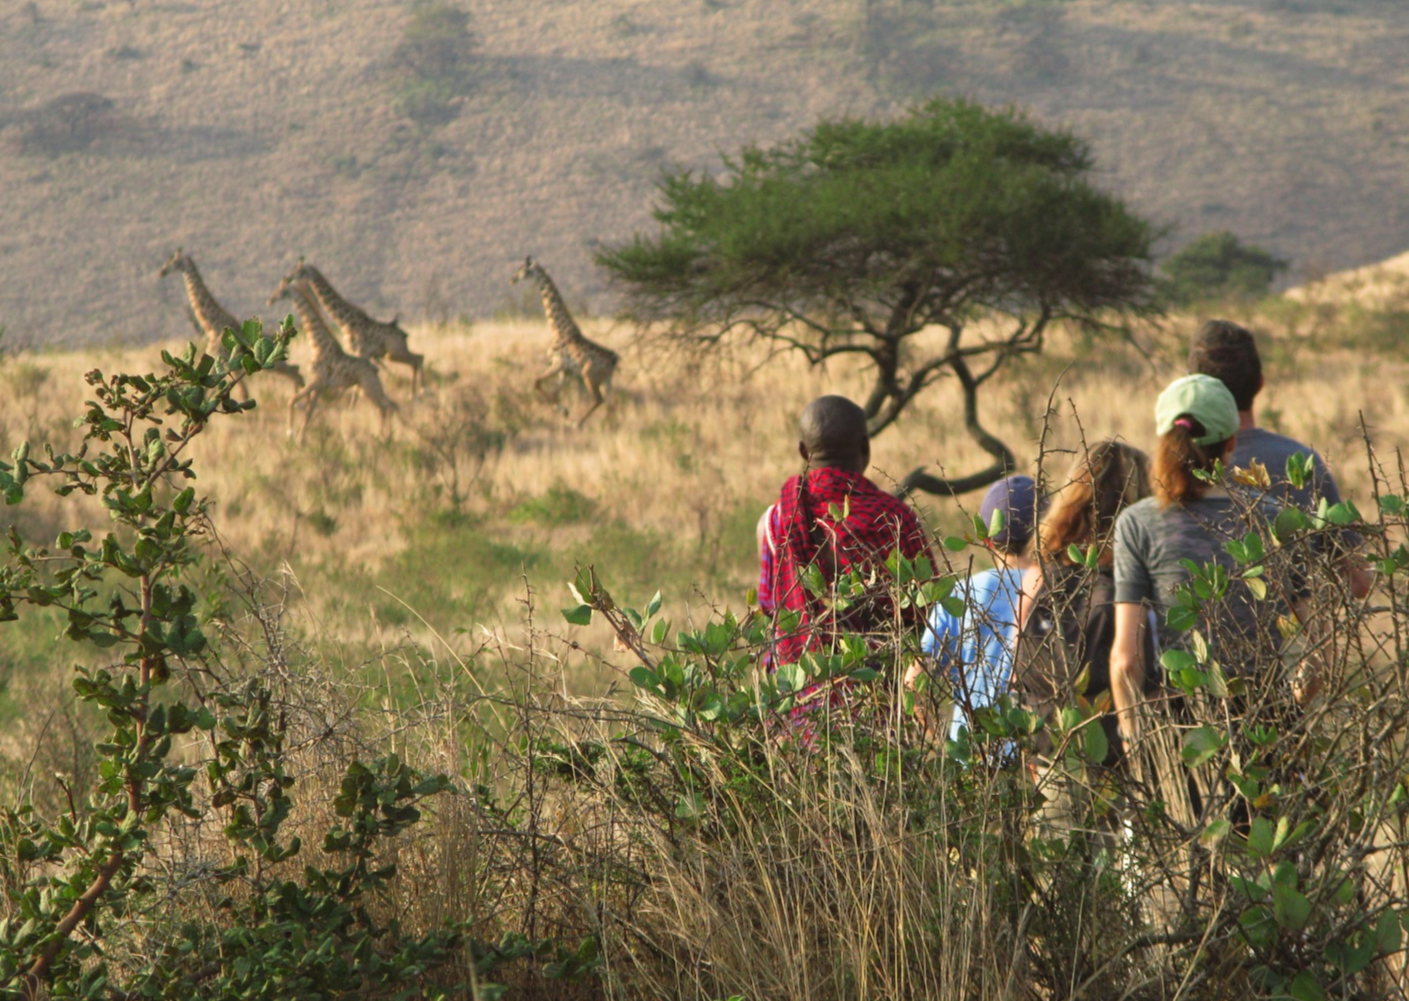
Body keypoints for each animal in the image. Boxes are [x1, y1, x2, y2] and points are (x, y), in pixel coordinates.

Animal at [159, 245, 302, 394]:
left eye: (172, 261)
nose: (161, 272)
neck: (211, 326)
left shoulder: (217, 358)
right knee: (296, 371)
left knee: (295, 372)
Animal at [266, 274, 397, 439]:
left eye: (281, 289)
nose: (270, 300)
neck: (317, 344)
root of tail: (374, 369)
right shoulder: (320, 386)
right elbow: (308, 412)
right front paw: (300, 439)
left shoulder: (316, 381)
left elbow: (292, 401)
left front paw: (290, 433)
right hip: (366, 388)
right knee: (388, 406)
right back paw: (386, 436)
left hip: (368, 386)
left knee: (385, 406)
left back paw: (383, 437)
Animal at [277, 259, 419, 394]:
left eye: (298, 271)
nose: (287, 278)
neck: (346, 321)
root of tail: (404, 334)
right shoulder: (354, 352)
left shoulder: (361, 352)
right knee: (417, 359)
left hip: (394, 352)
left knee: (417, 359)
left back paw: (416, 391)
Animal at [510, 256, 614, 425]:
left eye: (523, 269)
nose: (512, 279)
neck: (558, 329)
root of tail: (614, 360)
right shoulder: (566, 370)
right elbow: (554, 393)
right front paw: (563, 410)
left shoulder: (558, 363)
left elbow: (536, 382)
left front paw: (564, 411)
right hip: (607, 380)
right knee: (611, 405)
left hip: (589, 375)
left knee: (599, 400)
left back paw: (578, 423)